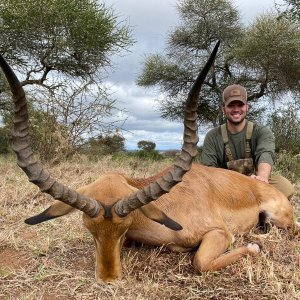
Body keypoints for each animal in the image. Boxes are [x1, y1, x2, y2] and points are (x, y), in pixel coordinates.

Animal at [0, 41, 298, 284]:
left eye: (124, 228)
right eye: (89, 228)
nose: (108, 279)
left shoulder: (220, 233)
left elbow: (200, 262)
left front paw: (253, 247)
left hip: (280, 221)